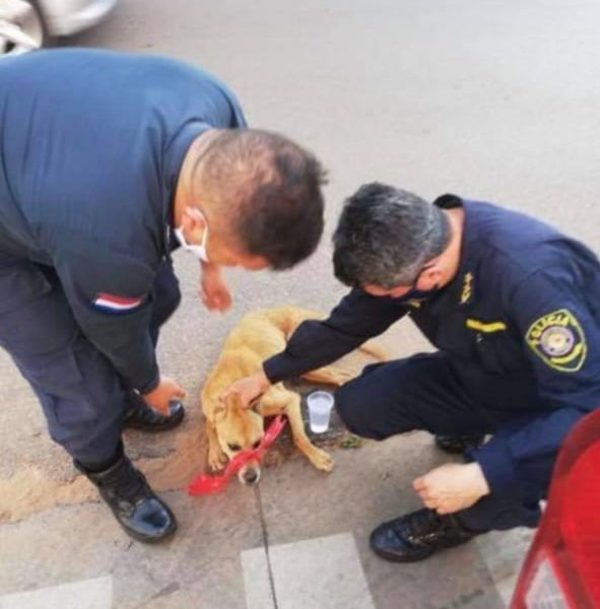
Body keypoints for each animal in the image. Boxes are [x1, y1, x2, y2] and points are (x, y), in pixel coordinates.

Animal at [202, 308, 390, 484]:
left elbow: (299, 437)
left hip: (305, 360)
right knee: (342, 375)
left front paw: (317, 456)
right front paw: (214, 452)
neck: (233, 395)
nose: (251, 478)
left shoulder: (290, 399)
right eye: (232, 446)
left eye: (258, 443)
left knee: (343, 375)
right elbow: (209, 424)